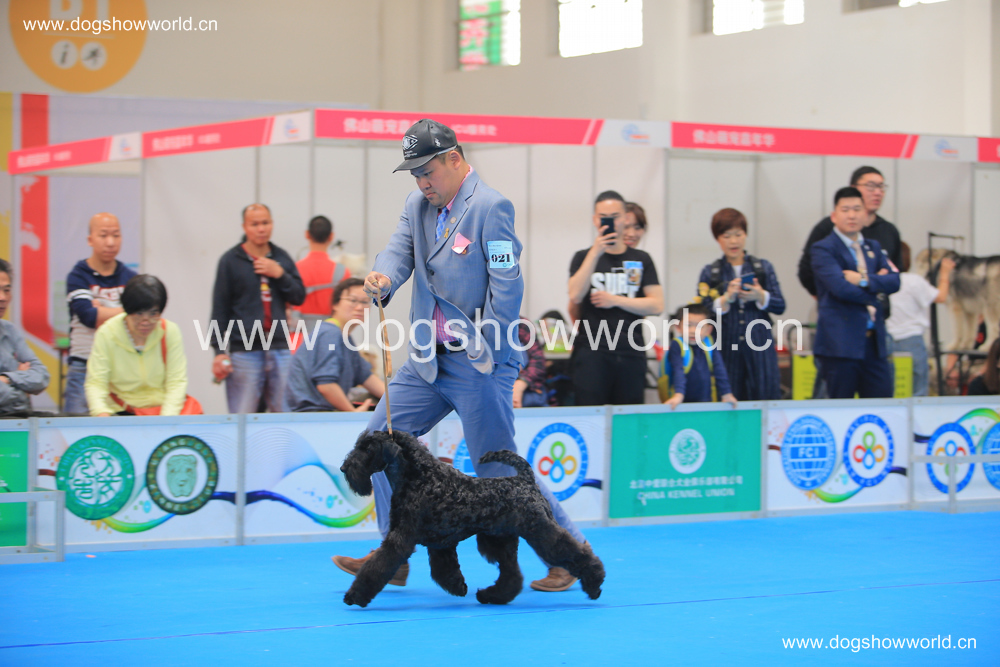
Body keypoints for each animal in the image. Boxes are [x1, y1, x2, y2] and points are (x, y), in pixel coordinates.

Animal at [338, 429, 605, 608]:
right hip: (498, 540)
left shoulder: (401, 539)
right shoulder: (441, 542)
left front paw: (355, 595)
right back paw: (491, 596)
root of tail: (526, 480)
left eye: (367, 448)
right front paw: (458, 587)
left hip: (539, 532)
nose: (344, 468)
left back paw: (594, 581)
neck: (418, 476)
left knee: (572, 551)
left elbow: (378, 566)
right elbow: (444, 569)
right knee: (512, 574)